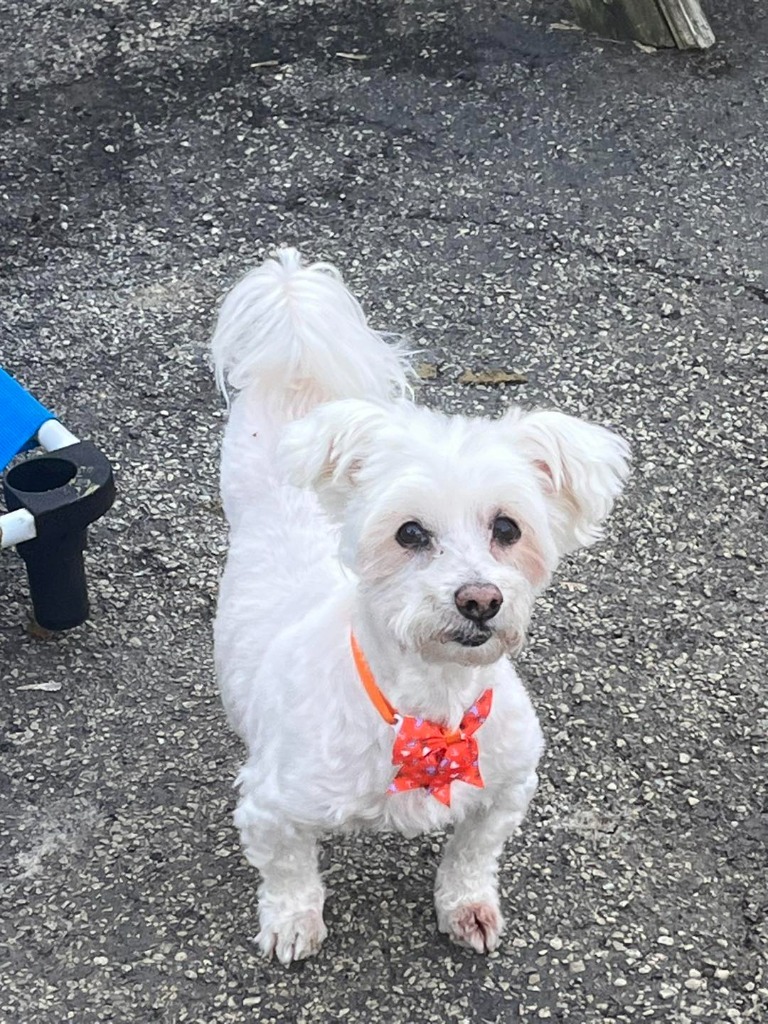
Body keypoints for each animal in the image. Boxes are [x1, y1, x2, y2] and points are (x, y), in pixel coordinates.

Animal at [211, 247, 630, 958]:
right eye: (409, 533)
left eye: (508, 528)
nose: (480, 599)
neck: (431, 712)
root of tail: (296, 380)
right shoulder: (270, 806)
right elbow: (288, 870)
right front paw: (293, 920)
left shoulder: (507, 786)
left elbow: (472, 853)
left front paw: (466, 905)